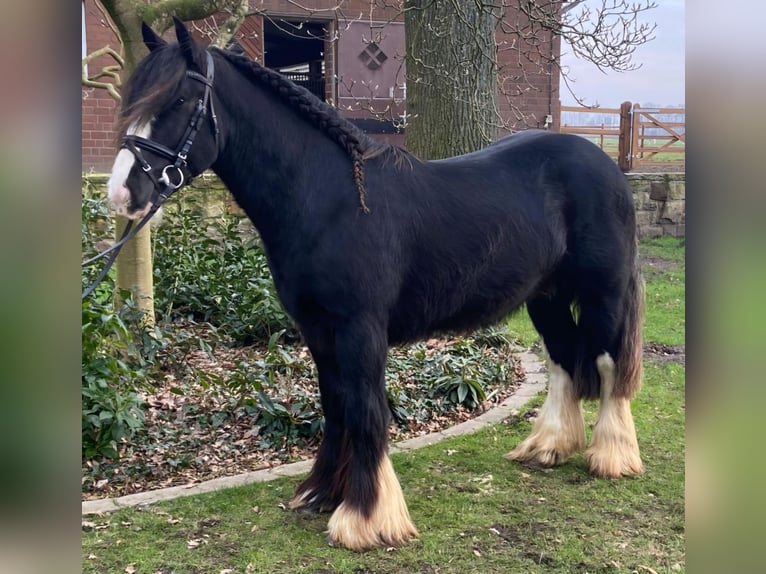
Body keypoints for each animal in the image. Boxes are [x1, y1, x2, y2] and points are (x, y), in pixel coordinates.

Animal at [106, 19, 648, 552]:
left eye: (178, 99)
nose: (122, 192)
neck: (332, 199)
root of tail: (605, 165)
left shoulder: (360, 329)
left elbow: (367, 411)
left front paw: (364, 519)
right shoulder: (318, 330)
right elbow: (336, 406)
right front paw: (321, 493)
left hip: (601, 294)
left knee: (605, 363)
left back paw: (611, 456)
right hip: (546, 298)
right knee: (564, 360)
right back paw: (549, 447)